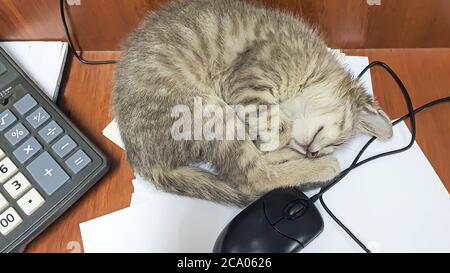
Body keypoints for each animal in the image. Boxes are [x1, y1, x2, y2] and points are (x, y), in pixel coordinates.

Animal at [110, 0, 392, 205]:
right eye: (333, 141)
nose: (314, 153)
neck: (312, 65)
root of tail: (142, 158)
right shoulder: (249, 79)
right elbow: (279, 127)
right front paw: (278, 138)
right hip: (208, 111)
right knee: (253, 178)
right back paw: (321, 167)